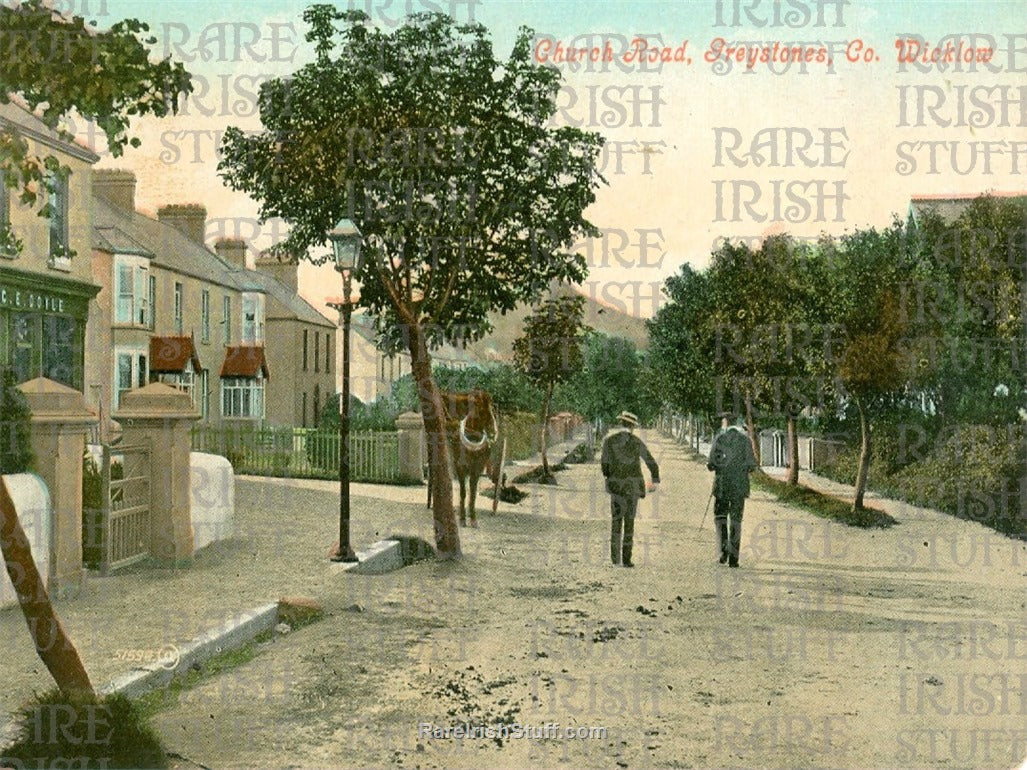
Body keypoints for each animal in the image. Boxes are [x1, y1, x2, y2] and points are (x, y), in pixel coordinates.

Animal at [427, 388, 499, 529]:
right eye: (480, 409)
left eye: (492, 407)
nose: (493, 432)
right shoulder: (460, 467)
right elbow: (463, 492)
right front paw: (462, 519)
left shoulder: (476, 468)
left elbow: (473, 493)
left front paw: (473, 518)